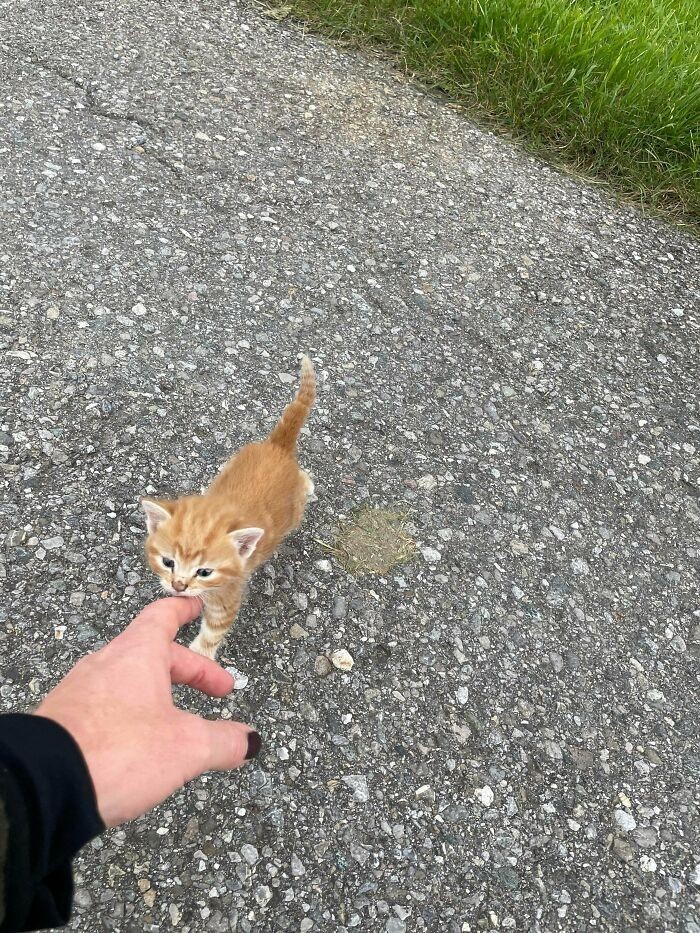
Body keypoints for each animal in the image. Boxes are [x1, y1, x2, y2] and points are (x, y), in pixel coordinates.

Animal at [141, 354, 316, 660]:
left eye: (205, 572)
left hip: (294, 511)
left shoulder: (228, 594)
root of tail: (277, 448)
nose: (178, 585)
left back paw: (309, 485)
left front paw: (199, 654)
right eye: (168, 562)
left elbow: (214, 630)